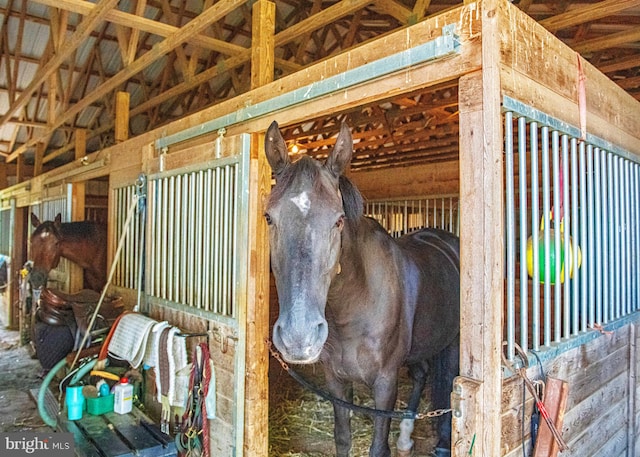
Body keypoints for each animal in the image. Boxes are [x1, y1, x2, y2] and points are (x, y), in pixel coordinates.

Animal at [264, 121, 460, 456]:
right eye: (268, 218)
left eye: (339, 220)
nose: (298, 338)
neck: (354, 304)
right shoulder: (335, 381)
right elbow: (342, 437)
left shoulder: (385, 383)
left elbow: (378, 447)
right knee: (422, 373)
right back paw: (406, 436)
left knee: (446, 382)